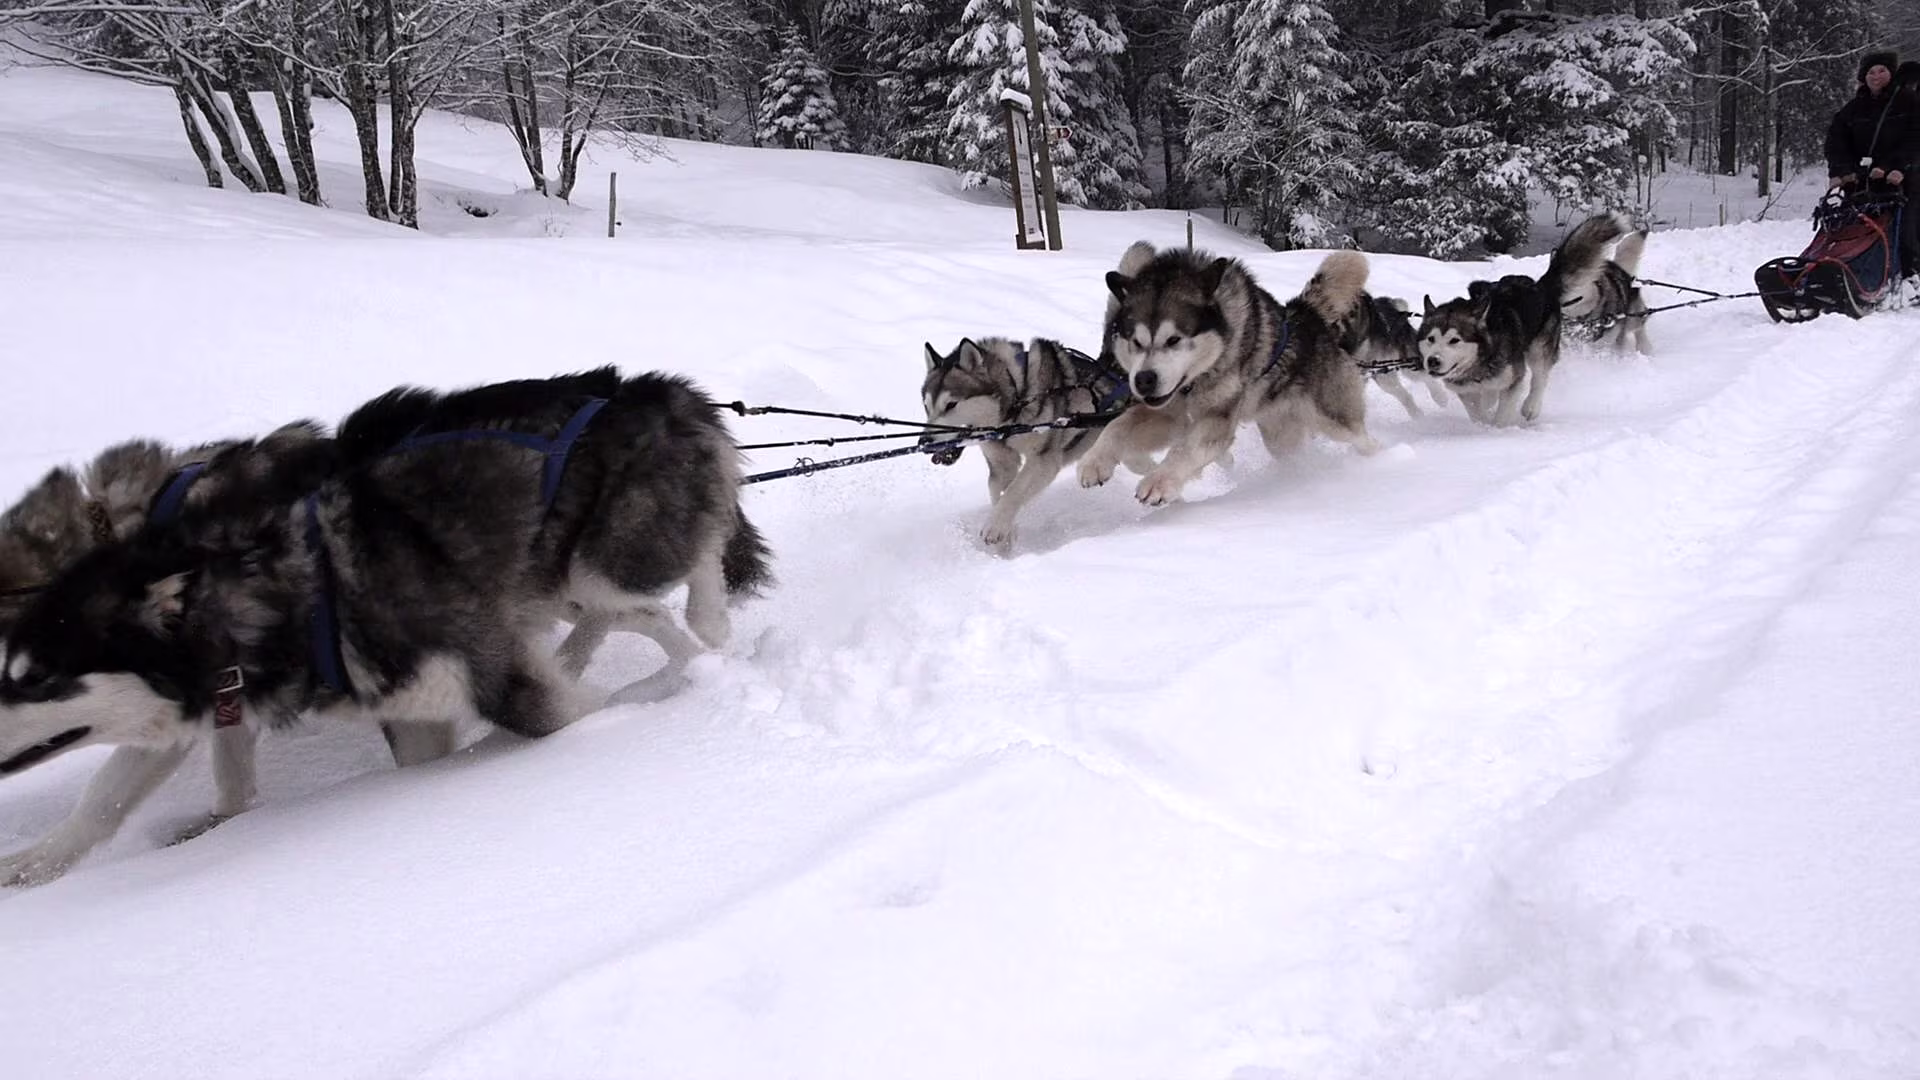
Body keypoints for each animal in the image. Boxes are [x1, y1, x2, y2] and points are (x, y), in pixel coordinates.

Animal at [0, 367, 770, 886]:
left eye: (37, 680)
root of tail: (662, 389)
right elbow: (111, 795)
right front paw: (36, 863)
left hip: (596, 563)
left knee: (679, 585)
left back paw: (702, 641)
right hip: (561, 577)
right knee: (629, 611)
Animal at [1075, 243, 1377, 506]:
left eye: (1174, 339)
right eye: (1136, 342)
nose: (1144, 380)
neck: (1194, 382)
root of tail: (1306, 314)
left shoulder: (1216, 419)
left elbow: (1185, 450)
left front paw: (1160, 482)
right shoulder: (1168, 415)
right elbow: (1117, 426)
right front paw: (1094, 461)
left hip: (1336, 419)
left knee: (1365, 440)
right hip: (1280, 437)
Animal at [1416, 212, 1630, 426]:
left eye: (1454, 340)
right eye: (1431, 339)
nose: (1433, 361)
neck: (1480, 362)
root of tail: (1541, 286)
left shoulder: (1513, 378)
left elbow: (1502, 411)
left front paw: (1496, 429)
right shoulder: (1466, 390)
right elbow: (1477, 411)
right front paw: (1483, 422)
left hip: (1540, 347)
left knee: (1540, 378)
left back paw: (1531, 407)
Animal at [1561, 226, 1653, 354]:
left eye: (1575, 282)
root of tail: (1617, 267)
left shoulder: (1609, 344)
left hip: (1633, 315)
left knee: (1639, 327)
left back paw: (1645, 348)